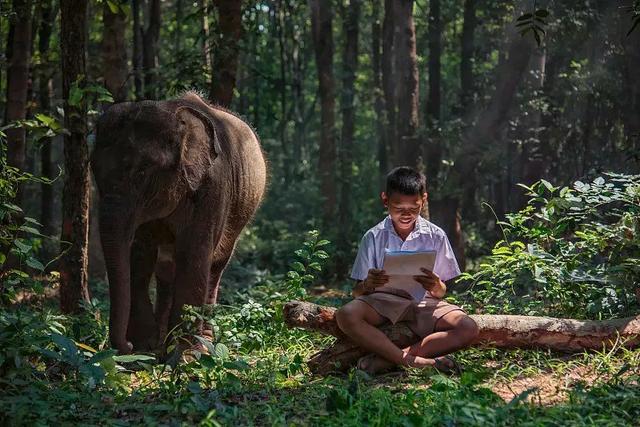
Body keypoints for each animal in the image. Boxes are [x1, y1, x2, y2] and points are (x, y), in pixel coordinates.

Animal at [91, 93, 266, 354]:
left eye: (142, 173)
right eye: (96, 175)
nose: (127, 346)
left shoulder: (212, 188)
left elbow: (194, 256)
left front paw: (185, 356)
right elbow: (141, 257)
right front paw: (144, 348)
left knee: (215, 267)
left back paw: (203, 342)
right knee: (166, 271)